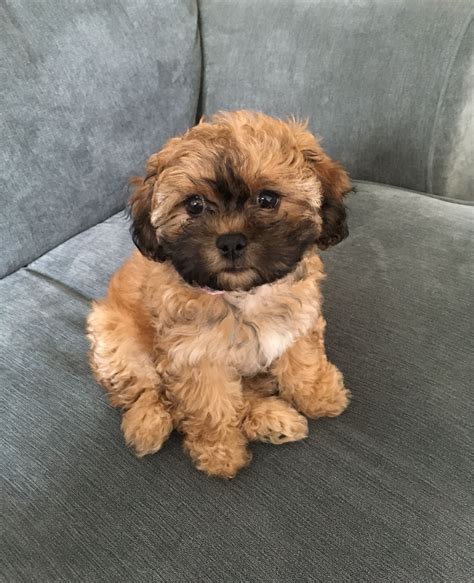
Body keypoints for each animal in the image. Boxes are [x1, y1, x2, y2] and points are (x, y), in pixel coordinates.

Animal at [87, 110, 352, 480]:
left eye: (267, 199)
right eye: (194, 205)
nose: (230, 242)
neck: (243, 292)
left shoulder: (297, 322)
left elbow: (304, 362)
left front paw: (320, 396)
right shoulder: (195, 355)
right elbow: (211, 406)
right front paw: (220, 453)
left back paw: (273, 419)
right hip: (115, 341)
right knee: (146, 389)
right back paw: (148, 423)